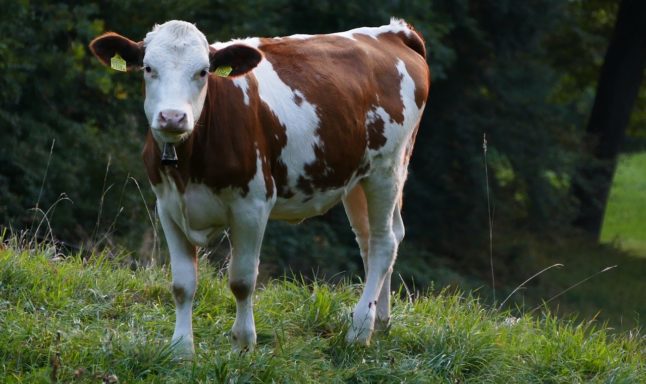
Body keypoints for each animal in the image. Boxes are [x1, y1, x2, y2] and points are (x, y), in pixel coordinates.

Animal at [86, 17, 430, 354]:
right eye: (148, 68)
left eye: (203, 71)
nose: (172, 117)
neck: (189, 165)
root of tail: (392, 32)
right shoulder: (167, 206)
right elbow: (182, 284)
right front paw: (181, 349)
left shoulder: (252, 205)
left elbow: (241, 280)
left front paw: (243, 344)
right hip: (357, 178)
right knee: (370, 240)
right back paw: (380, 320)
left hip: (387, 168)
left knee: (385, 242)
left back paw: (359, 330)